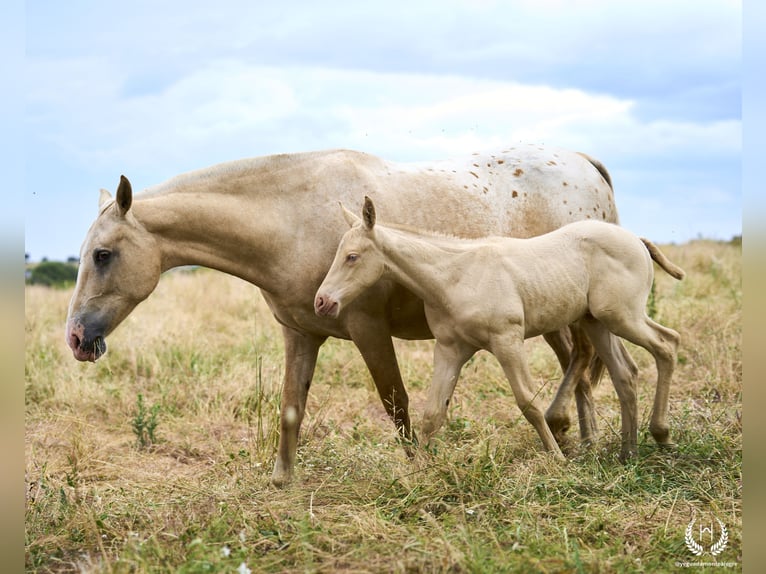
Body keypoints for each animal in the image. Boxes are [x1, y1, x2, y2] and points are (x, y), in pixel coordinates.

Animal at [66, 144, 628, 486]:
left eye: (103, 255)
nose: (75, 338)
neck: (291, 220)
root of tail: (583, 162)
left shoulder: (367, 330)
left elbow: (397, 405)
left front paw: (418, 469)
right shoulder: (299, 334)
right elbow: (291, 409)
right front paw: (282, 482)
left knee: (584, 361)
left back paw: (569, 429)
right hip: (559, 315)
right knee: (584, 367)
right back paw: (586, 441)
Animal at [316, 198, 688, 464]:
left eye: (352, 256)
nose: (322, 302)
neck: (456, 275)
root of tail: (636, 239)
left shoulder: (507, 340)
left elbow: (528, 402)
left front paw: (557, 458)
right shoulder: (450, 348)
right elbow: (434, 412)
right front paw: (420, 470)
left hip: (623, 316)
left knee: (667, 344)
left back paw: (661, 435)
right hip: (597, 322)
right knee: (625, 374)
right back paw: (629, 452)